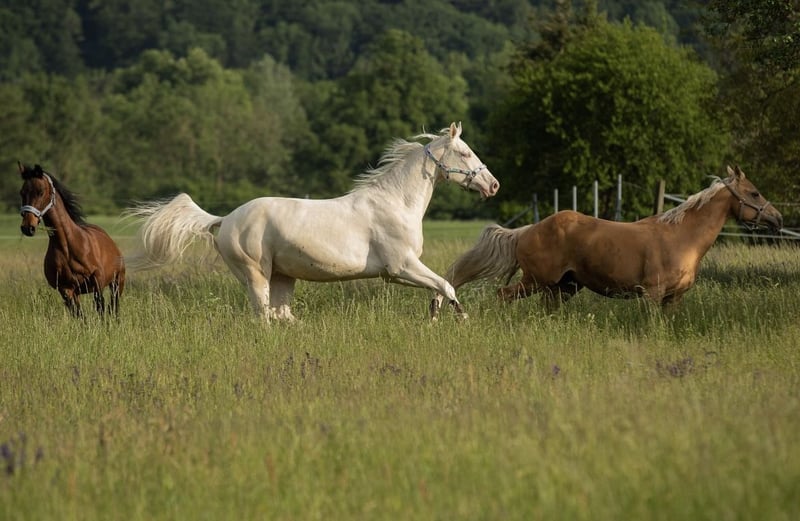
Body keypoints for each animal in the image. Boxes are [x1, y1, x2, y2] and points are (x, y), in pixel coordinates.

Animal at [18, 163, 126, 317]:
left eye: (40, 192)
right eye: (22, 192)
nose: (27, 227)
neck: (68, 246)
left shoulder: (97, 280)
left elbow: (100, 306)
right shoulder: (67, 289)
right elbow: (79, 315)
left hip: (117, 282)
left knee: (114, 306)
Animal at [125, 122, 499, 321]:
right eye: (465, 152)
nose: (493, 185)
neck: (396, 204)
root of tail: (225, 219)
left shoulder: (405, 270)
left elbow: (440, 287)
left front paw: (435, 316)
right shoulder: (400, 268)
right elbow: (446, 285)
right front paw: (460, 319)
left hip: (282, 276)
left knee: (281, 315)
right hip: (256, 274)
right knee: (264, 316)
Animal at [432, 165, 782, 315]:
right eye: (754, 193)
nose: (777, 220)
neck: (681, 238)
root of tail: (527, 230)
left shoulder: (674, 298)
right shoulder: (652, 294)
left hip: (562, 287)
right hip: (536, 281)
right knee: (503, 295)